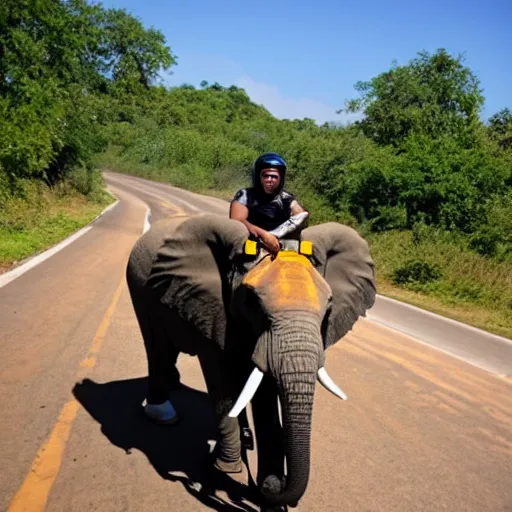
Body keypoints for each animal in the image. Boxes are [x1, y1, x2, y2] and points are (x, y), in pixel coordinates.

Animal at [125, 212, 376, 508]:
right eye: (251, 303)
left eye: (328, 309)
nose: (278, 486)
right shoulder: (214, 307)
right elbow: (222, 378)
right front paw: (227, 469)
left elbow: (264, 393)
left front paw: (267, 489)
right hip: (138, 285)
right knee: (156, 345)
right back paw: (162, 413)